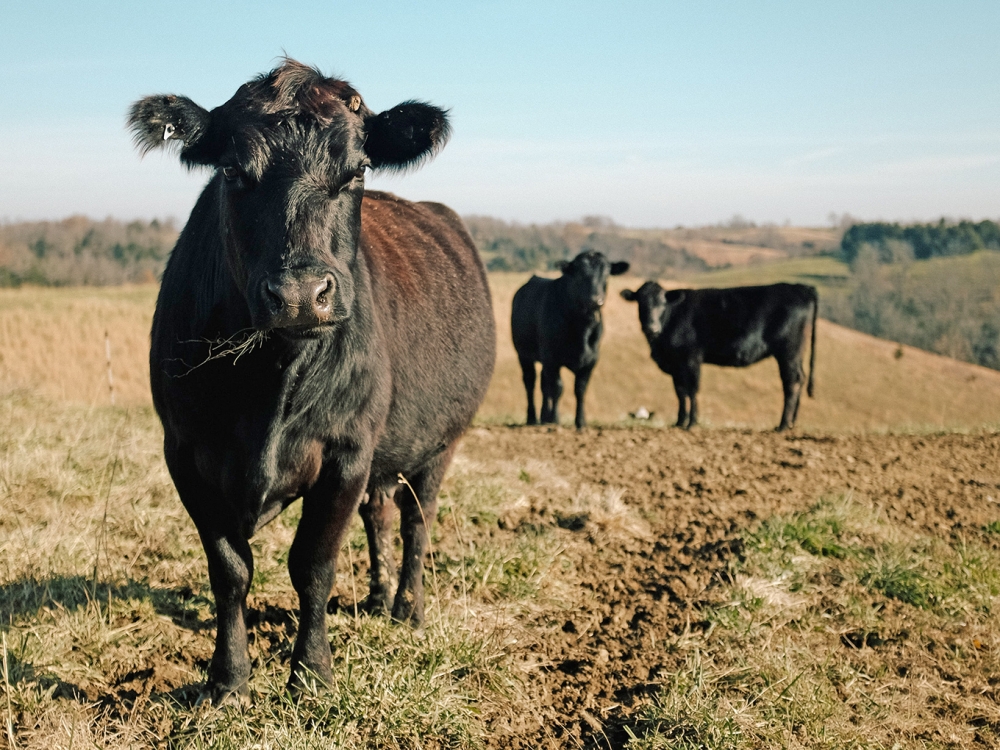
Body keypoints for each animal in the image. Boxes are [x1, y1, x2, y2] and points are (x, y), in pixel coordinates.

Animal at [129, 58, 496, 704]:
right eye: (233, 171)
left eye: (357, 170)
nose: (301, 294)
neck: (269, 385)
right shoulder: (185, 453)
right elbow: (230, 571)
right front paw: (228, 679)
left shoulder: (346, 451)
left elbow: (313, 565)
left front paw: (312, 673)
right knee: (379, 515)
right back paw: (375, 597)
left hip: (438, 446)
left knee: (416, 522)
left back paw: (407, 608)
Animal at [512, 253, 628, 428]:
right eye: (579, 273)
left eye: (607, 272)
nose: (596, 300)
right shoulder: (552, 358)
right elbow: (557, 388)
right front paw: (555, 419)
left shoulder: (591, 359)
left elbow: (580, 389)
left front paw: (580, 422)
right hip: (524, 354)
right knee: (530, 382)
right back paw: (532, 418)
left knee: (544, 383)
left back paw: (544, 417)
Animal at [620, 282, 816, 432]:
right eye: (640, 302)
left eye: (662, 303)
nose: (651, 327)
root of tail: (801, 287)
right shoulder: (676, 364)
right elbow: (680, 392)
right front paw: (679, 422)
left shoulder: (691, 358)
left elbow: (692, 389)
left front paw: (691, 423)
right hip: (796, 354)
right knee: (800, 378)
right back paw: (791, 423)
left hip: (788, 352)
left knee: (792, 382)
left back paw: (782, 425)